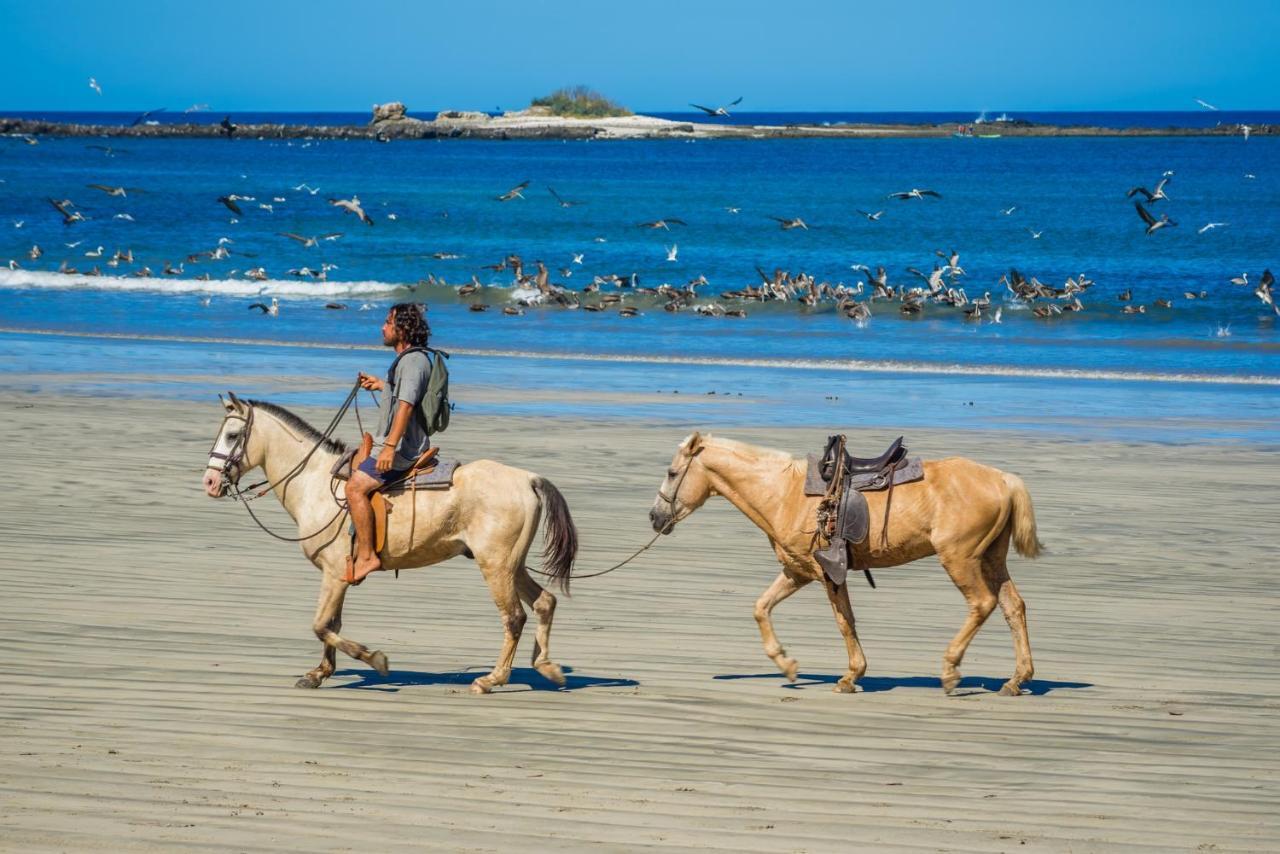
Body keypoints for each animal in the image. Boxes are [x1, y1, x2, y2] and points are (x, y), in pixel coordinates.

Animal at [203, 394, 581, 696]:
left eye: (233, 435)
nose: (209, 481)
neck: (315, 482)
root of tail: (528, 478)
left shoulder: (335, 573)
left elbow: (321, 625)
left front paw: (376, 660)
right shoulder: (339, 576)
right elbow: (332, 625)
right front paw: (320, 673)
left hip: (496, 565)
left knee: (514, 617)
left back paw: (491, 679)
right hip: (511, 565)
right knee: (544, 603)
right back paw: (547, 667)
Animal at [645, 435, 1044, 696]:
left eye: (672, 472)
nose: (654, 516)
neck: (783, 493)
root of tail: (1003, 480)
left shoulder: (826, 573)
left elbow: (843, 622)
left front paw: (851, 676)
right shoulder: (797, 571)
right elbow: (761, 607)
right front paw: (787, 664)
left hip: (960, 558)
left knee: (982, 603)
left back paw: (950, 670)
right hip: (991, 558)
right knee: (1014, 607)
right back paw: (1016, 679)